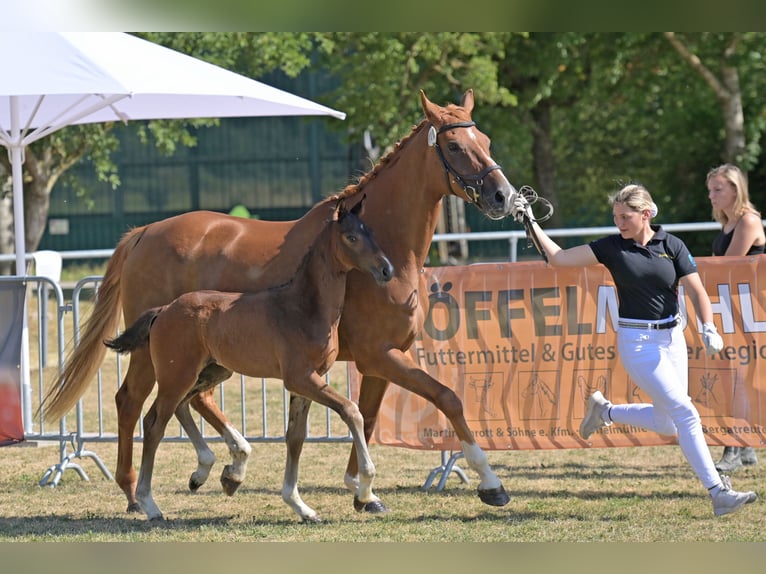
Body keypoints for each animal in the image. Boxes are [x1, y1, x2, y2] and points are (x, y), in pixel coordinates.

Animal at [104, 198, 394, 521]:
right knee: (154, 422)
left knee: (185, 404)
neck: (303, 307)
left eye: (371, 232)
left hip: (212, 371)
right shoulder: (301, 377)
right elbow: (351, 410)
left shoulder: (306, 383)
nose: (386, 269)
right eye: (351, 237)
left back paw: (210, 473)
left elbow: (296, 437)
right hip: (176, 376)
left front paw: (301, 507)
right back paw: (150, 504)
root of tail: (164, 309)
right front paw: (365, 488)